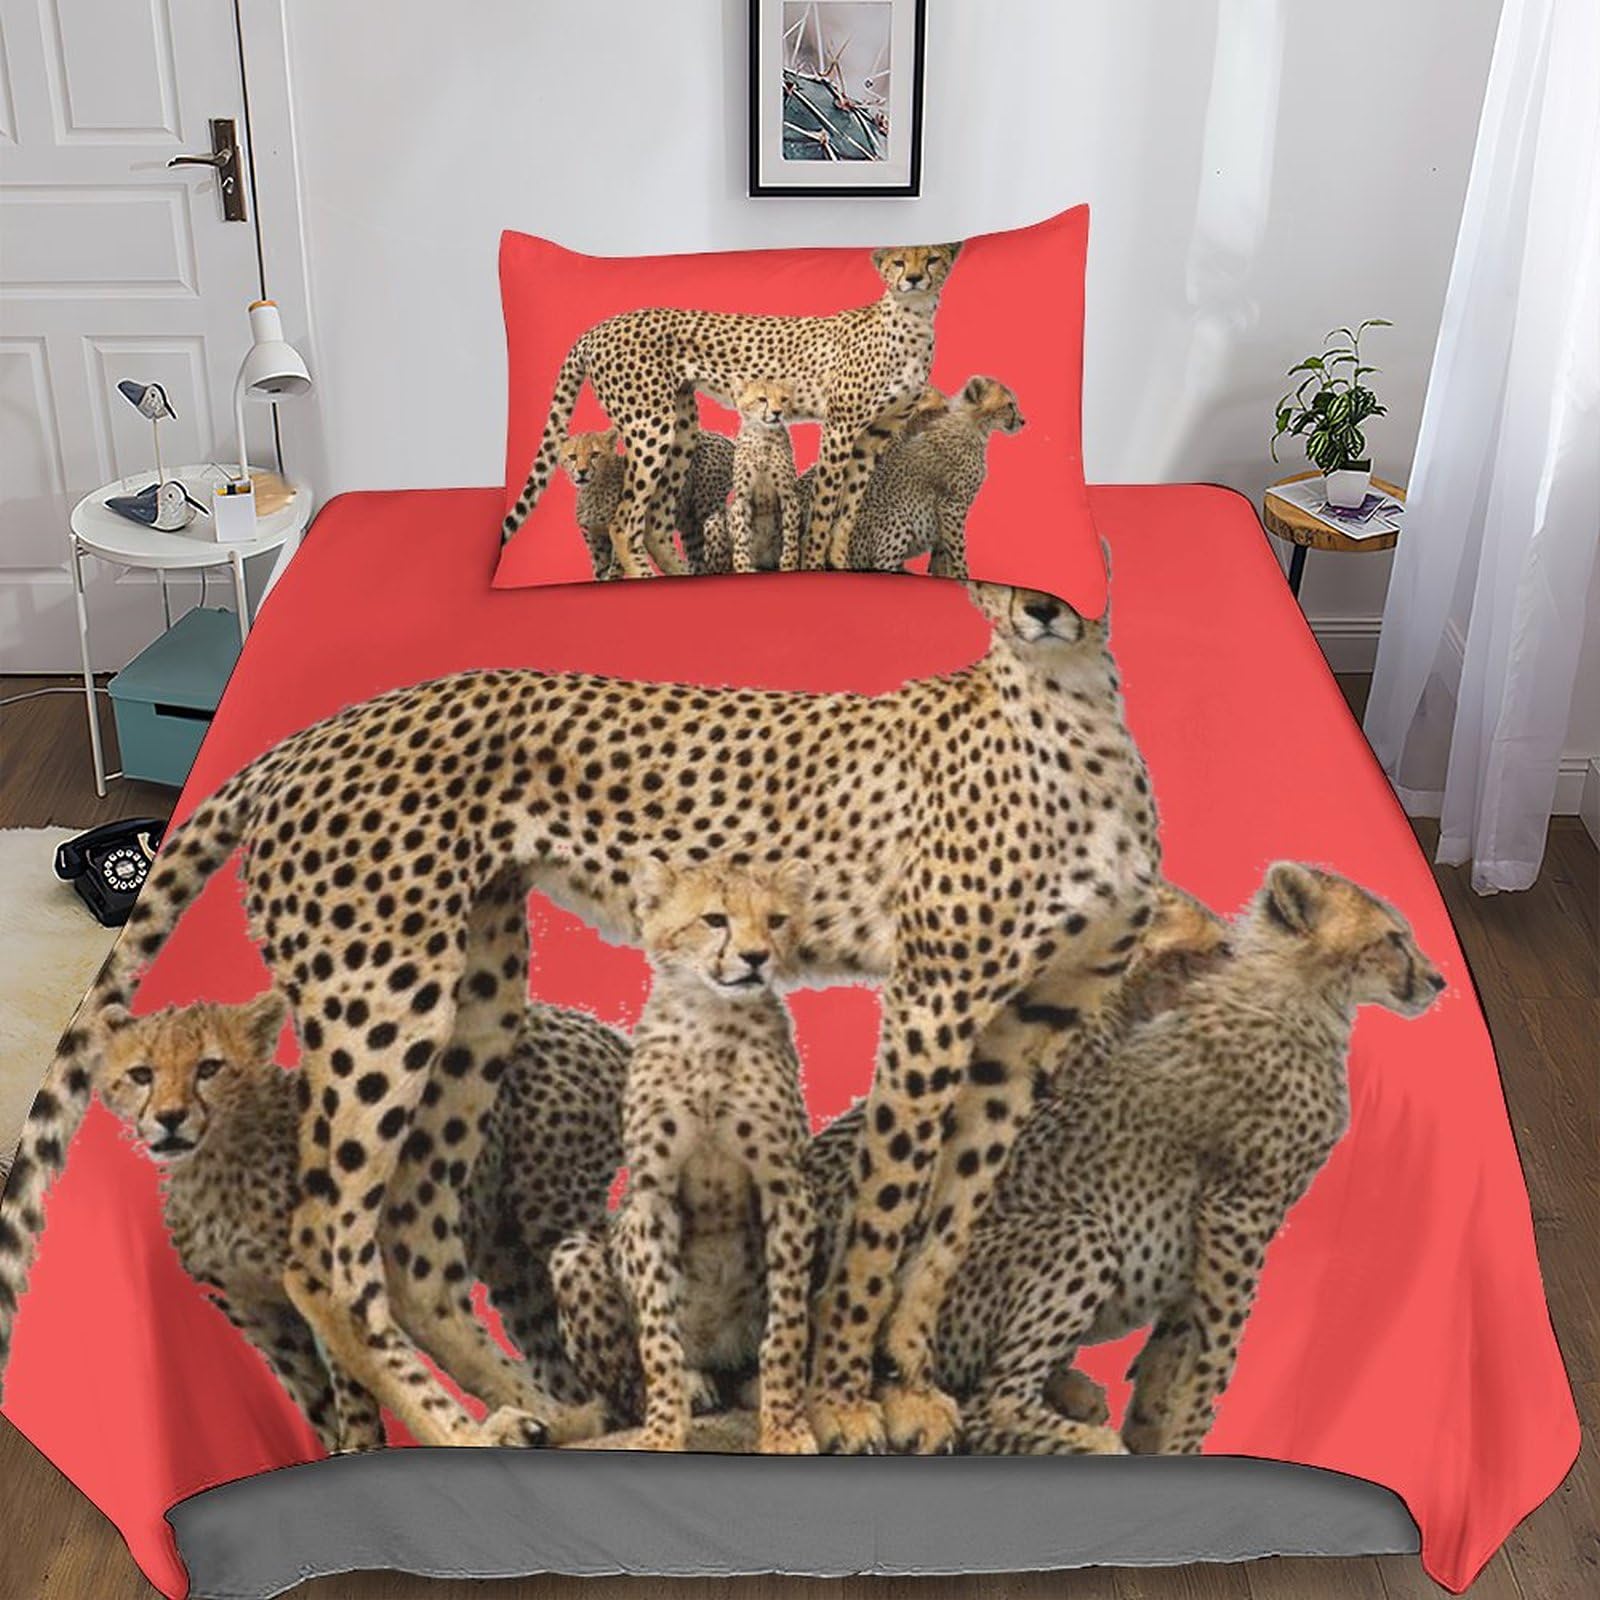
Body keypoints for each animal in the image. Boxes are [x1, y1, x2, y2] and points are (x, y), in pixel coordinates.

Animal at [554, 854, 817, 1453]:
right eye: (715, 919)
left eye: (775, 920)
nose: (756, 957)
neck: (712, 1019)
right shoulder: (652, 1195)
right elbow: (658, 1335)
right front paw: (662, 1431)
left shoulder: (786, 1187)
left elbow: (786, 1327)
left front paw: (785, 1426)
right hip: (574, 1254)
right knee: (623, 1389)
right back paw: (686, 1390)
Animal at [557, 428, 734, 580]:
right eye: (573, 457)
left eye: (595, 454)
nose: (582, 471)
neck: (593, 488)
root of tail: (722, 437)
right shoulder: (595, 539)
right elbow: (601, 571)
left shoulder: (621, 530)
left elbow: (615, 569)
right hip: (689, 525)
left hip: (705, 509)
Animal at [699, 379, 806, 575]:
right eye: (762, 399)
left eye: (784, 399)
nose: (777, 412)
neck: (763, 435)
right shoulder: (742, 498)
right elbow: (741, 534)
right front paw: (743, 566)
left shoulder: (789, 496)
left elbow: (790, 536)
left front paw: (789, 565)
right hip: (713, 522)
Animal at [845, 376, 1026, 579]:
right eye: (1009, 405)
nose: (1023, 421)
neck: (973, 424)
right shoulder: (952, 505)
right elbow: (957, 550)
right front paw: (963, 577)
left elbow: (944, 551)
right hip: (897, 516)